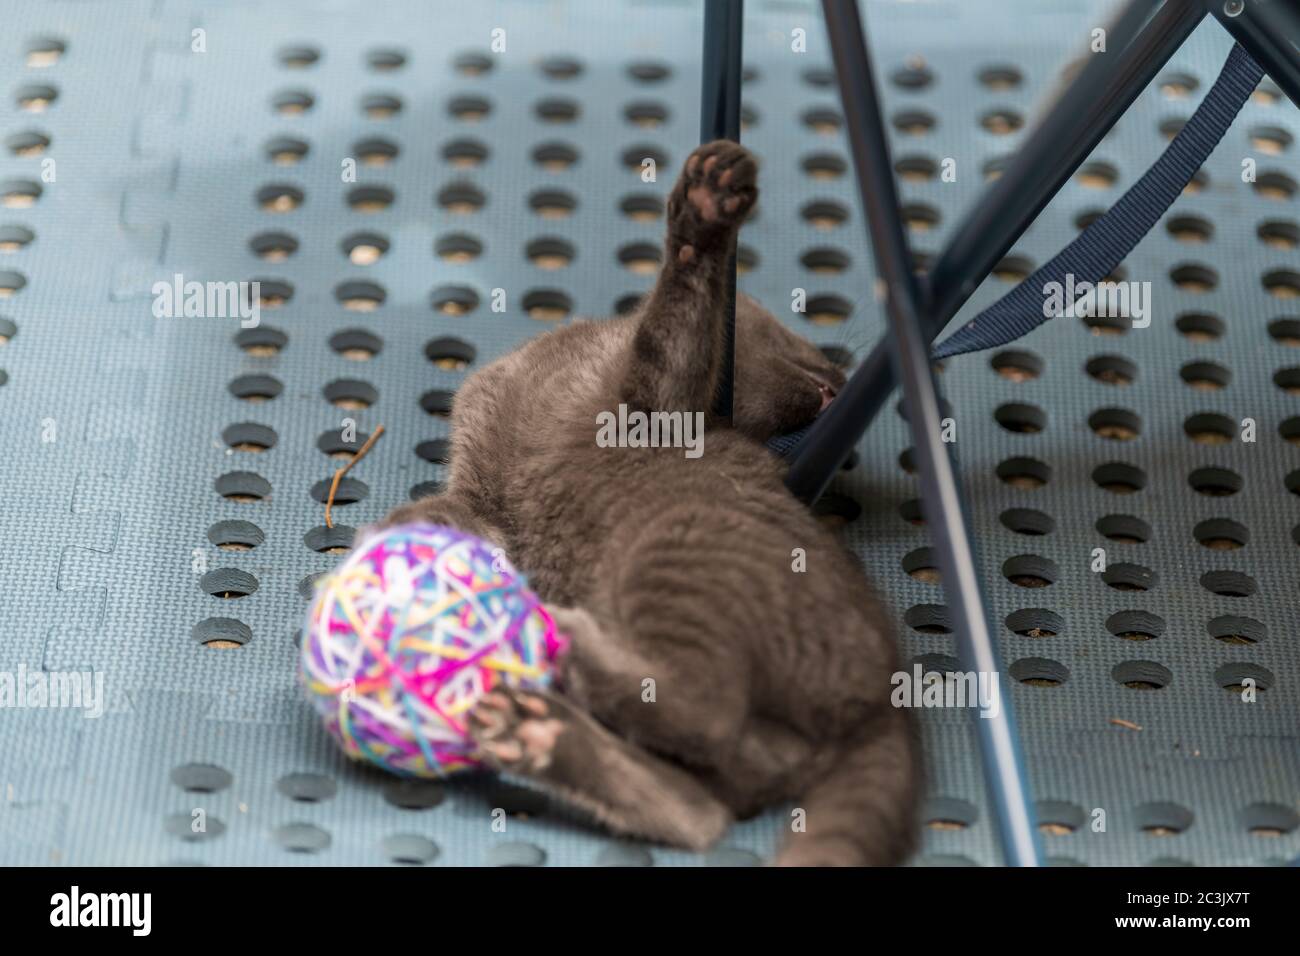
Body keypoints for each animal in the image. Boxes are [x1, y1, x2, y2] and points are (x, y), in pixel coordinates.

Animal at [371, 140, 920, 868]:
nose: (835, 381)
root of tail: (881, 706)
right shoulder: (485, 493)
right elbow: (452, 519)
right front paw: (402, 543)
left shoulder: (650, 402)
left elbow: (671, 325)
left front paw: (702, 214)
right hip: (739, 746)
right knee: (696, 808)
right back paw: (536, 731)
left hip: (678, 547)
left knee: (704, 709)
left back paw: (565, 650)